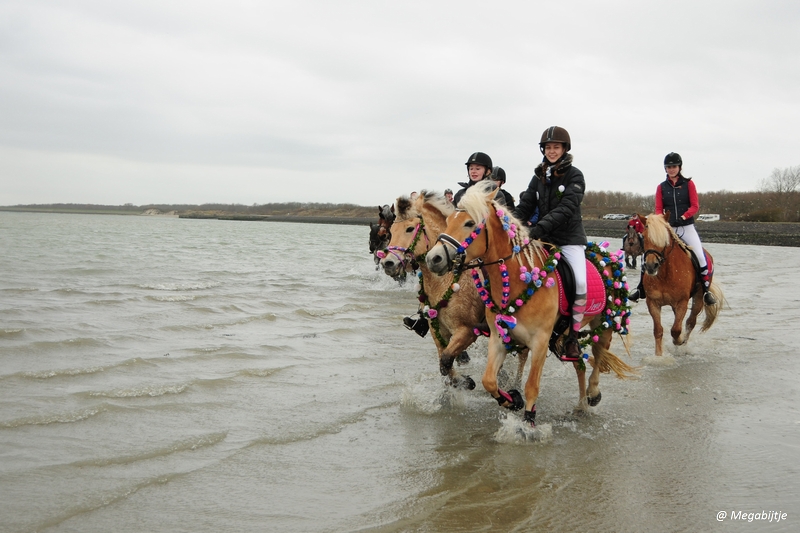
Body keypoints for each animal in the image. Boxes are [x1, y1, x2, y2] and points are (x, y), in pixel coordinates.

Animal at [382, 190, 532, 386]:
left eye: (409, 229)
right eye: (391, 231)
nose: (388, 264)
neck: (445, 281)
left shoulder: (466, 331)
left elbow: (446, 359)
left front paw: (465, 382)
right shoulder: (438, 331)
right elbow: (444, 364)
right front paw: (459, 381)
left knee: (523, 354)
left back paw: (515, 384)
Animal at [428, 182, 636, 424]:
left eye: (470, 223)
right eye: (449, 220)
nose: (433, 259)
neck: (521, 283)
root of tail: (606, 256)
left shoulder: (540, 341)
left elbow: (531, 386)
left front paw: (528, 421)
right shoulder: (499, 338)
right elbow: (489, 380)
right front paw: (512, 401)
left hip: (604, 324)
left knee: (599, 355)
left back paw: (592, 394)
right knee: (580, 365)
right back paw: (581, 405)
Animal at [636, 211, 724, 354]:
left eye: (665, 239)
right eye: (643, 237)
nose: (651, 266)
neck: (665, 275)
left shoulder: (682, 302)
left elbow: (676, 330)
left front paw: (679, 341)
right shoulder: (653, 302)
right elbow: (658, 330)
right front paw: (658, 355)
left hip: (698, 298)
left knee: (690, 321)